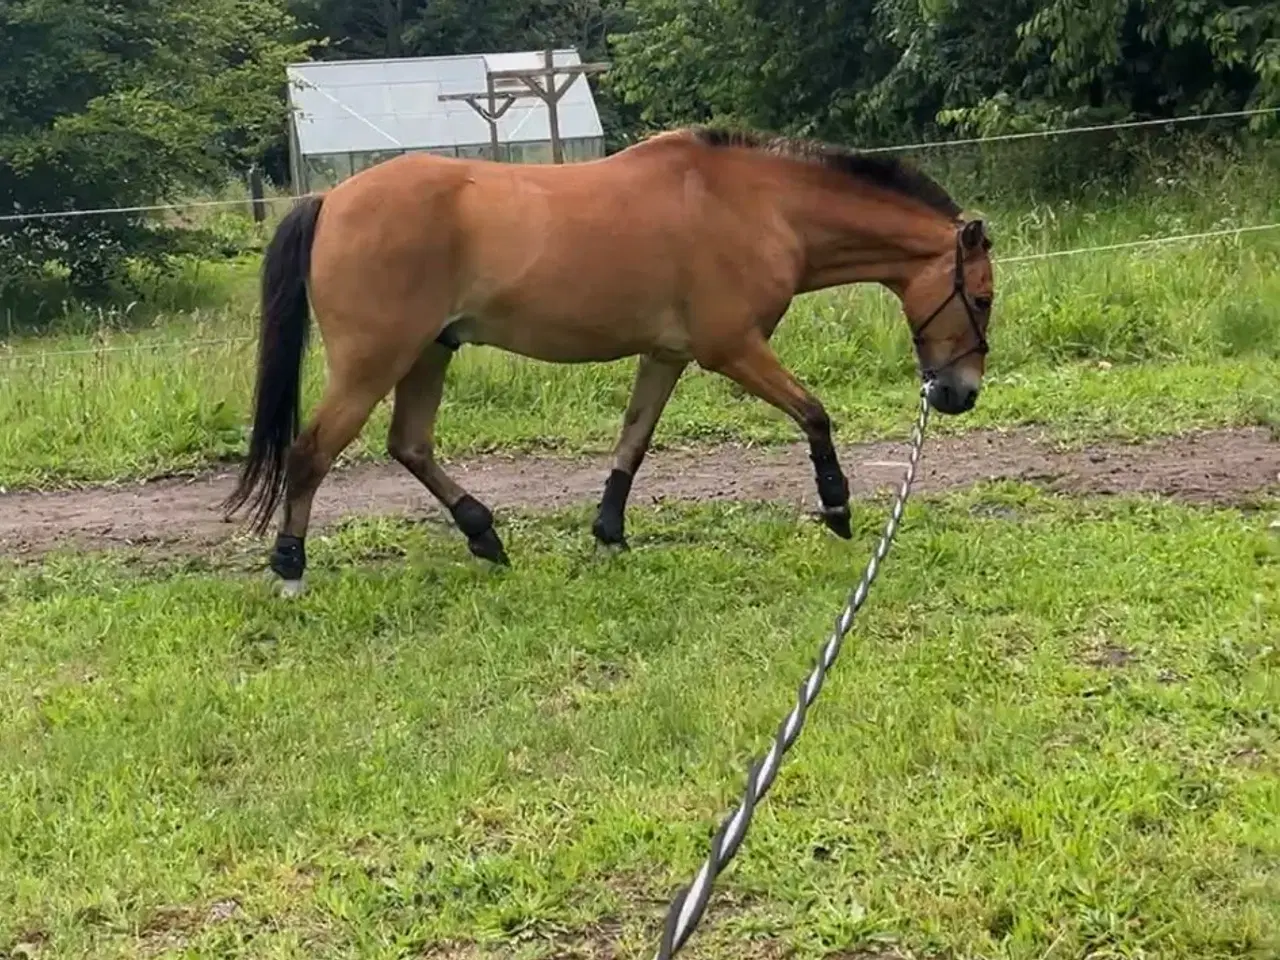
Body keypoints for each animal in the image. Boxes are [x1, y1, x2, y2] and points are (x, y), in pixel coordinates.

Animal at [223, 125, 995, 595]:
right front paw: (835, 505)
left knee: (409, 445)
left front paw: (609, 533)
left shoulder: (666, 355)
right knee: (311, 451)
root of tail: (330, 198)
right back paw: (290, 569)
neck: (757, 207)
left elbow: (633, 443)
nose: (958, 394)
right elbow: (814, 413)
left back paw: (484, 535)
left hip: (428, 353)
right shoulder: (732, 349)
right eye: (982, 299)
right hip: (373, 361)